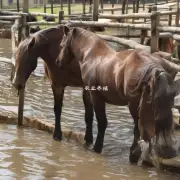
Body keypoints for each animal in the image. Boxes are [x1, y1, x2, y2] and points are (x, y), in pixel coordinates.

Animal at [57, 26, 178, 163]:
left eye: (61, 45)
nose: (58, 62)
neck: (92, 55)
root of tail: (154, 68)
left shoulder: (95, 97)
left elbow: (101, 121)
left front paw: (97, 147)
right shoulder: (88, 94)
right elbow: (89, 117)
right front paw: (88, 140)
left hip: (134, 105)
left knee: (137, 128)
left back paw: (133, 154)